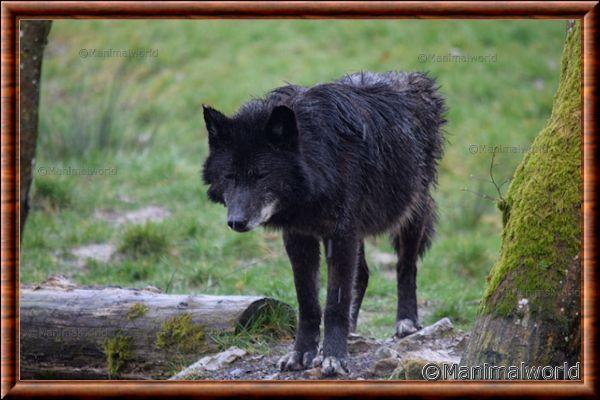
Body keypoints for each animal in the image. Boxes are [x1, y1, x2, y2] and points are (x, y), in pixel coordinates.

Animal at [203, 71, 446, 376]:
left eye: (260, 175)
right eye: (229, 176)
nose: (236, 222)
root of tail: (414, 78)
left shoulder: (340, 234)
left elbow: (334, 304)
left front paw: (334, 357)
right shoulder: (299, 238)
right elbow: (308, 302)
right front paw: (302, 354)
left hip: (411, 213)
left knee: (406, 266)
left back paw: (406, 322)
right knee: (363, 274)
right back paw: (353, 330)